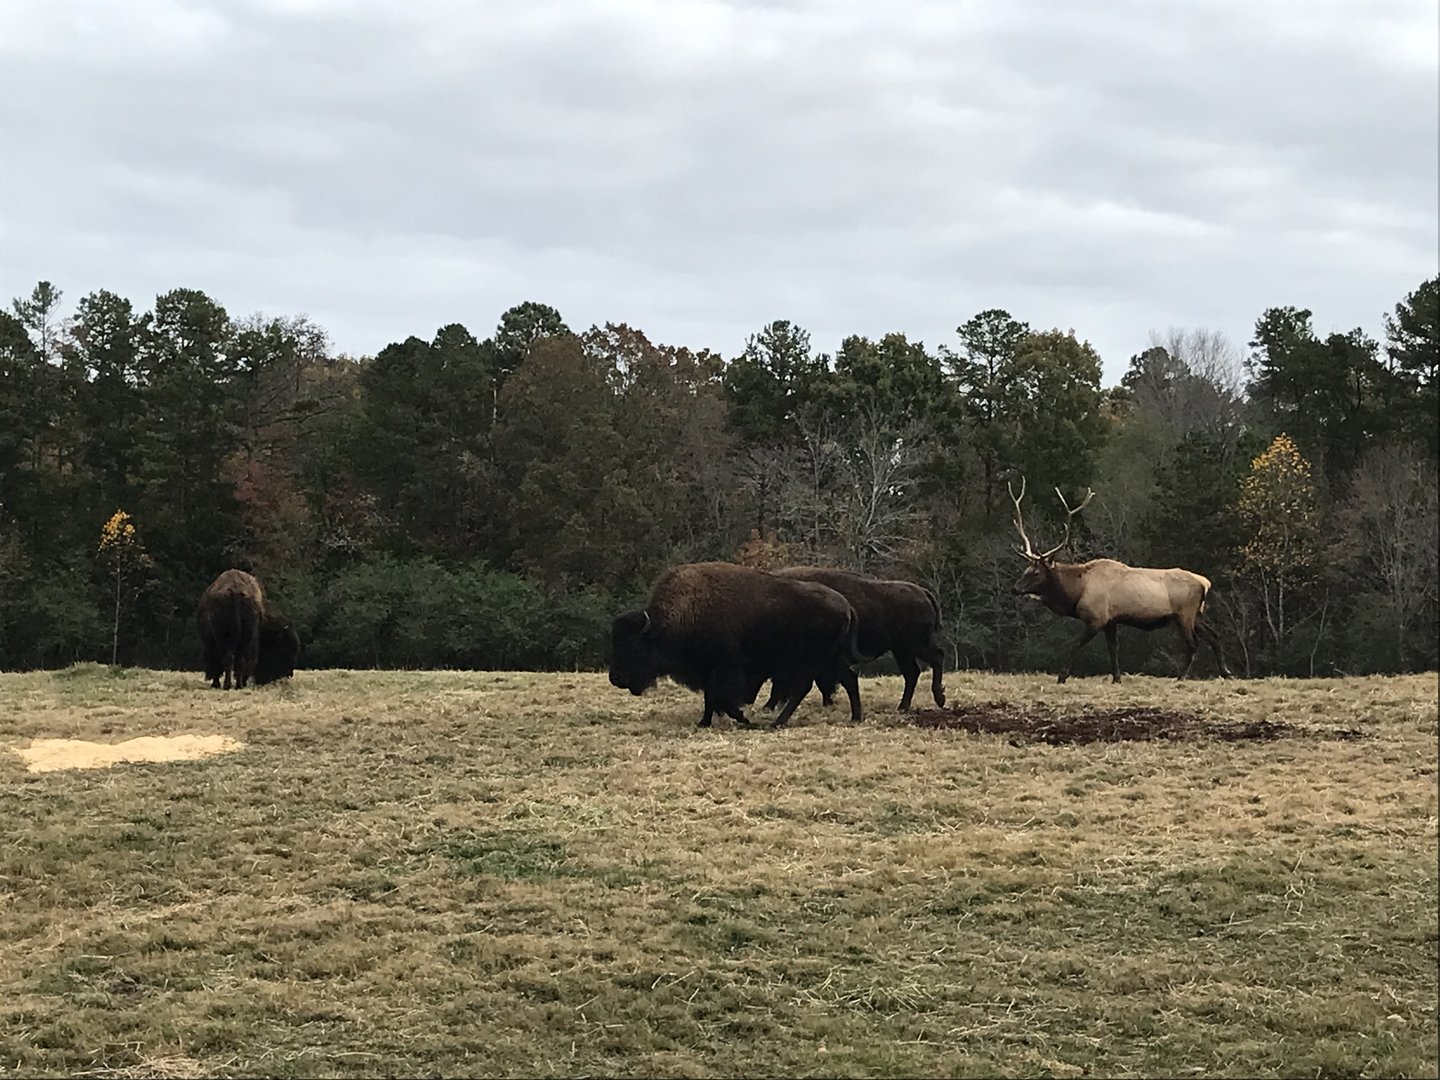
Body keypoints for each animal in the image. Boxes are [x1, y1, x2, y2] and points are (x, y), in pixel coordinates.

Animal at [608, 561, 864, 729]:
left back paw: (777, 723)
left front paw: (742, 718)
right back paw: (855, 717)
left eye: (633, 646)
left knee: (805, 687)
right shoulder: (708, 670)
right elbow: (709, 697)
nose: (615, 678)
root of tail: (846, 605)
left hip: (812, 661)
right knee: (848, 679)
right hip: (830, 658)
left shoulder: (726, 667)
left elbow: (718, 696)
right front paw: (704, 722)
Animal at [1008, 478, 1231, 683]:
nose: (1015, 588)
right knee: (1214, 636)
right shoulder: (1111, 621)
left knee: (1193, 643)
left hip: (1184, 614)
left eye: (1036, 573)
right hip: (1197, 613)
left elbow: (1075, 644)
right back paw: (1225, 672)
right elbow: (1113, 649)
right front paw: (1117, 678)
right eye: (1026, 569)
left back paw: (1181, 676)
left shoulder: (1096, 618)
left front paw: (1062, 677)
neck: (1076, 592)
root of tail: (1205, 582)